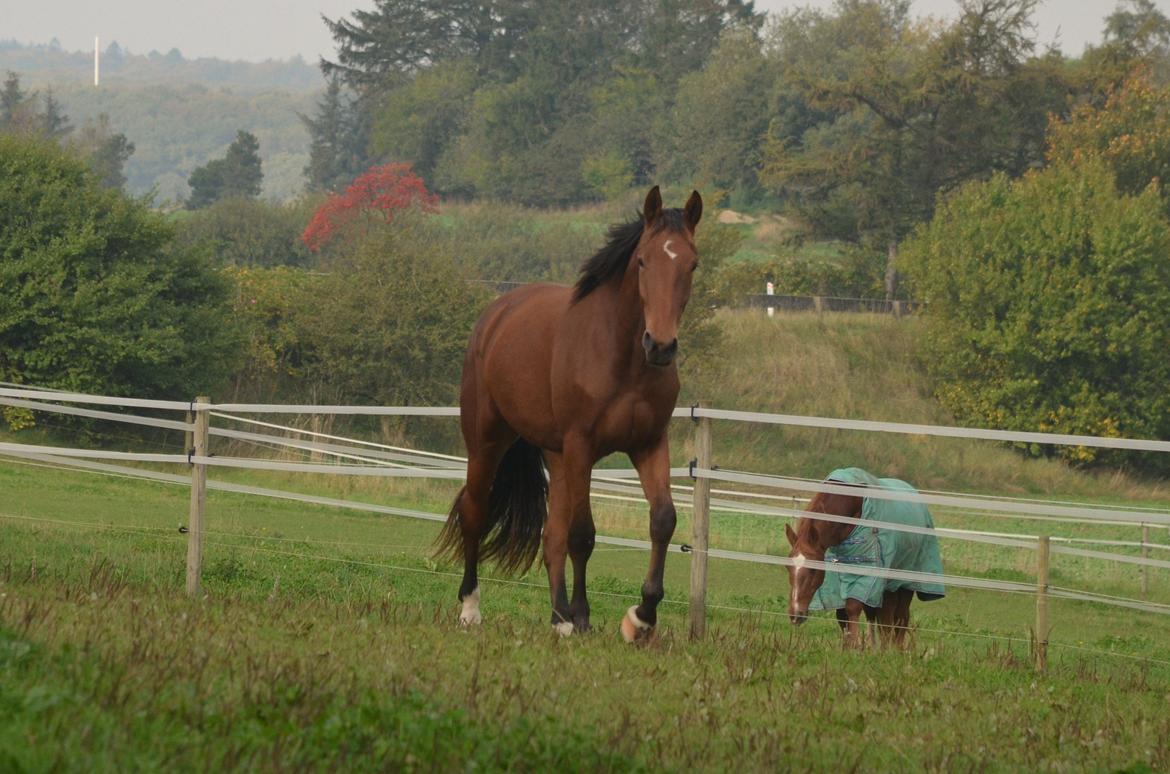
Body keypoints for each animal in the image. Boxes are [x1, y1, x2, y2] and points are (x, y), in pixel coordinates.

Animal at [435, 187, 697, 640]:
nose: (660, 346)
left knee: (550, 536)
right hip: (487, 441)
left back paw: (558, 617)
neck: (622, 356)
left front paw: (641, 618)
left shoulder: (648, 443)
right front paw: (584, 615)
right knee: (475, 513)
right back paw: (471, 608)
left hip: (555, 455)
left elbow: (662, 520)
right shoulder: (582, 446)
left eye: (692, 264)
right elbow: (583, 534)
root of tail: (496, 314)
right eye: (643, 261)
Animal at [781, 470, 945, 650]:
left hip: (903, 583)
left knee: (898, 617)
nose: (796, 615)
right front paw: (849, 647)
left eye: (813, 569)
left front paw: (855, 646)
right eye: (788, 568)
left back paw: (894, 649)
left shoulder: (868, 573)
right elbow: (843, 613)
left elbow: (853, 607)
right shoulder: (835, 577)